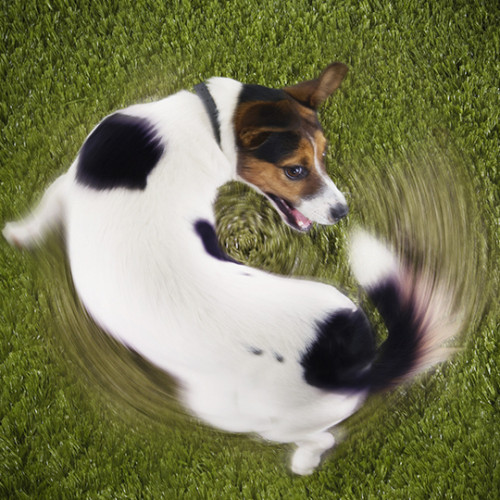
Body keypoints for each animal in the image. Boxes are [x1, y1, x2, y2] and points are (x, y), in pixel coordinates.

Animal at [1, 62, 458, 472]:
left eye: (324, 157)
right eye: (296, 168)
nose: (342, 211)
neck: (206, 124)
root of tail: (351, 365)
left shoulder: (67, 183)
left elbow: (42, 211)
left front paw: (17, 235)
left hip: (237, 413)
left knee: (321, 437)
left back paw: (303, 463)